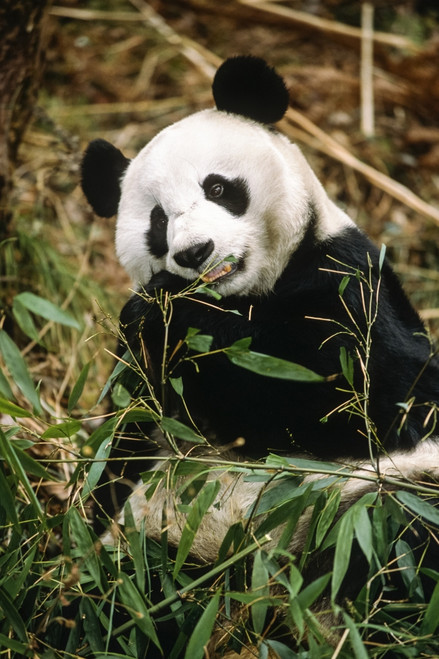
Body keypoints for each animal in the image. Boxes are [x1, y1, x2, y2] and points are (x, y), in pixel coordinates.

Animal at [81, 56, 439, 653]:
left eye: (218, 186)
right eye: (158, 221)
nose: (193, 252)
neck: (245, 297)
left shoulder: (348, 279)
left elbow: (374, 399)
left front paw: (183, 319)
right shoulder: (140, 382)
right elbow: (122, 444)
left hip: (379, 498)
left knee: (395, 532)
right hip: (154, 547)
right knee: (127, 598)